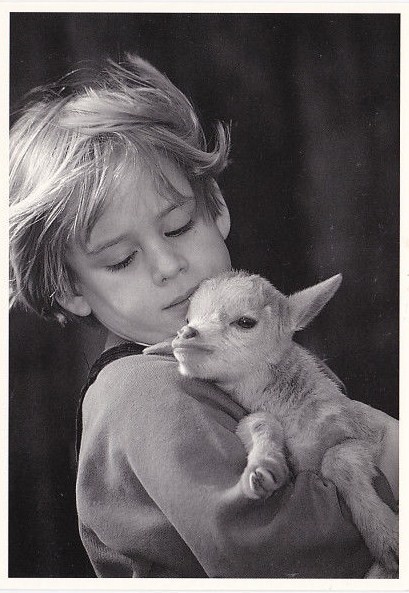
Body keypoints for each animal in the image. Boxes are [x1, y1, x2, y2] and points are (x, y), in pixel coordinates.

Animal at [145, 270, 396, 576]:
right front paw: (264, 467)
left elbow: (339, 459)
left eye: (245, 322)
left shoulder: (367, 429)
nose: (185, 333)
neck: (290, 410)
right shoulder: (253, 415)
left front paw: (386, 535)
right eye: (188, 319)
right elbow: (258, 421)